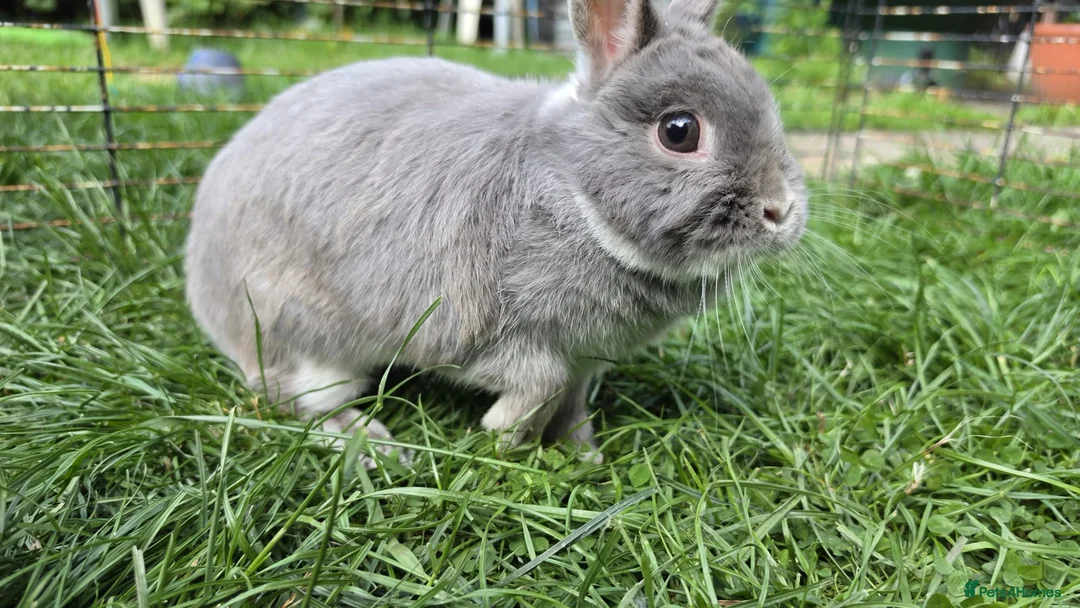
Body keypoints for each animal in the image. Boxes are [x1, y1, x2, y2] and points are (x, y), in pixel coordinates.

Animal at [184, 0, 808, 469]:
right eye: (679, 131)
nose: (781, 210)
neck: (570, 192)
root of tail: (203, 288)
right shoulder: (480, 331)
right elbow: (541, 384)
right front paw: (501, 435)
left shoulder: (585, 361)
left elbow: (571, 406)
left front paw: (584, 455)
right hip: (303, 338)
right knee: (288, 397)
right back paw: (374, 444)